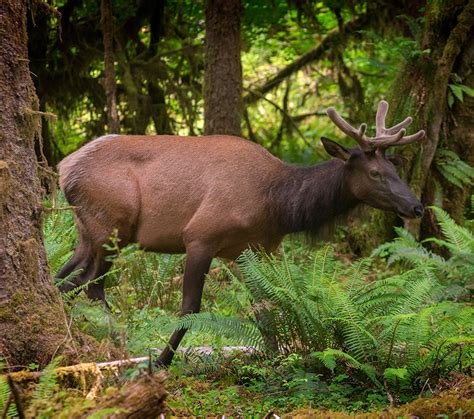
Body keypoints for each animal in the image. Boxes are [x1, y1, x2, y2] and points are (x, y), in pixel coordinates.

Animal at [56, 100, 426, 366]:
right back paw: (116, 345)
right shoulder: (200, 236)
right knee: (88, 284)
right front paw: (162, 361)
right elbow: (190, 307)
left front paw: (276, 355)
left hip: (87, 232)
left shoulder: (253, 249)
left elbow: (265, 303)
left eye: (395, 169)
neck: (278, 207)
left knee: (63, 276)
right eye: (375, 173)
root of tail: (64, 169)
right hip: (111, 227)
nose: (418, 207)